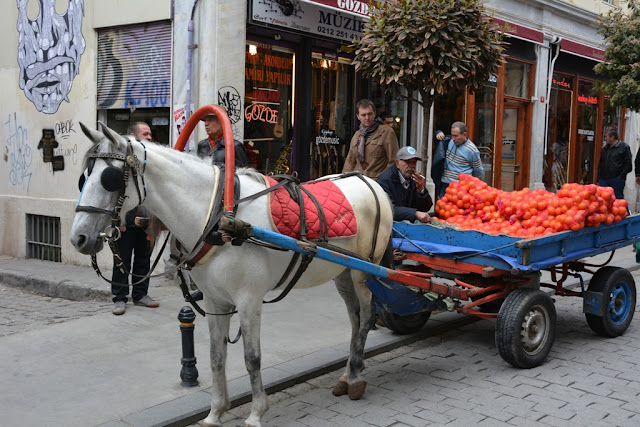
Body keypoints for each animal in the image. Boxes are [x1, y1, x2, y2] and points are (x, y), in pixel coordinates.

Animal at [69, 122, 390, 426]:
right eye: (83, 178)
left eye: (109, 179)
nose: (78, 238)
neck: (218, 217)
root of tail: (371, 183)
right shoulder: (214, 301)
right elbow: (216, 356)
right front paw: (215, 412)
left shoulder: (249, 300)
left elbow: (252, 357)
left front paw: (256, 413)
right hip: (343, 272)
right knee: (354, 319)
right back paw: (347, 375)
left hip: (363, 273)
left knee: (366, 315)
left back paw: (356, 377)